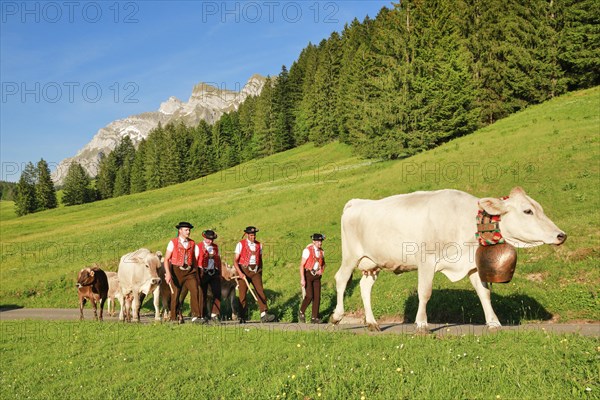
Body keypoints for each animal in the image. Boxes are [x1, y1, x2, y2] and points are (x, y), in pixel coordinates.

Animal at [332, 187, 568, 332]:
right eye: (527, 211)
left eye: (539, 208)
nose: (561, 235)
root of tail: (356, 202)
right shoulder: (426, 260)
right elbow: (425, 292)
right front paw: (422, 324)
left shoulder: (472, 265)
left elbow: (484, 294)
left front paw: (493, 323)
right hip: (351, 255)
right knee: (341, 279)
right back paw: (336, 316)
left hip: (373, 262)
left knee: (365, 286)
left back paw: (372, 323)